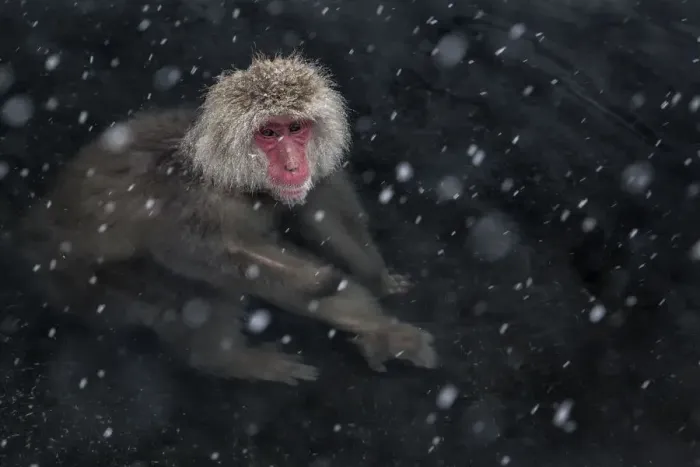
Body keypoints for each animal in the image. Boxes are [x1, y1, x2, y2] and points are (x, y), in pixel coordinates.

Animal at [17, 53, 437, 385]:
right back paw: (228, 360)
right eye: (269, 133)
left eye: (295, 128)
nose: (292, 164)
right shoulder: (197, 203)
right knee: (192, 286)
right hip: (91, 284)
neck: (237, 179)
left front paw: (377, 288)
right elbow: (196, 255)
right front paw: (345, 301)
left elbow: (326, 213)